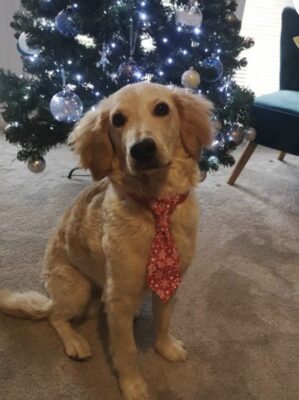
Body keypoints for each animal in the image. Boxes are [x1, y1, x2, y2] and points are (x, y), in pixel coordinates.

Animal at [0, 82, 213, 400]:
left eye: (162, 108)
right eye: (118, 120)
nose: (142, 148)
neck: (156, 205)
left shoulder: (171, 280)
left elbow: (163, 321)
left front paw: (166, 348)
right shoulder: (119, 296)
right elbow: (126, 350)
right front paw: (133, 385)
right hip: (76, 288)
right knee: (55, 317)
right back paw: (75, 342)